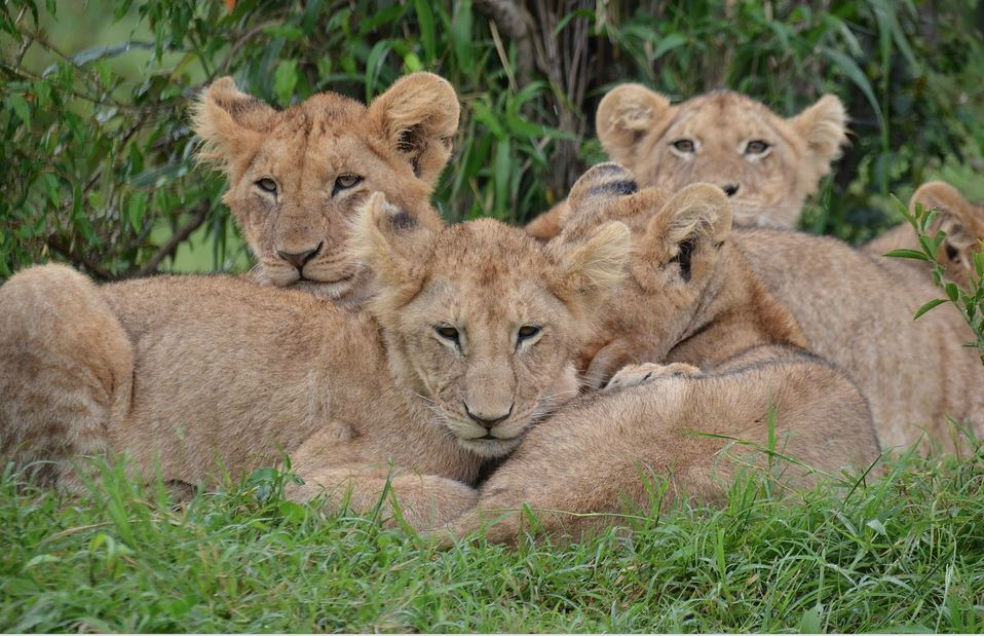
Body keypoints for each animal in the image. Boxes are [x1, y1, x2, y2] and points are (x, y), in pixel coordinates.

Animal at [0, 193, 631, 529]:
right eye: (449, 333)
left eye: (528, 333)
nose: (489, 417)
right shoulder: (302, 474)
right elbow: (440, 494)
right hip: (48, 285)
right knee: (69, 492)